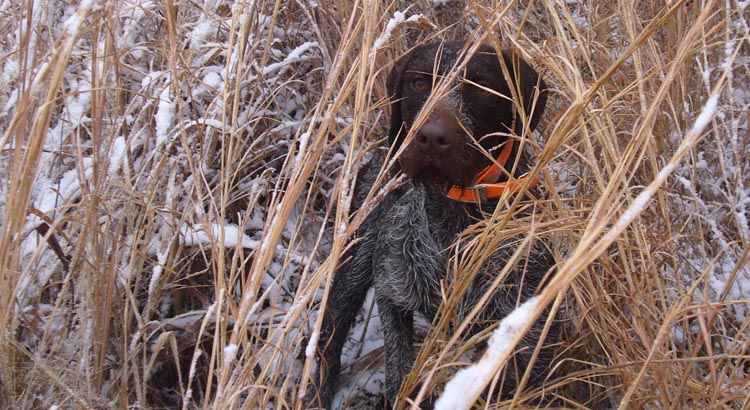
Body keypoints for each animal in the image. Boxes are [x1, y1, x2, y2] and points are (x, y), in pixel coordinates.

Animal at [314, 40, 556, 406]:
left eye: (480, 87)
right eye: (418, 83)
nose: (429, 137)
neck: (455, 222)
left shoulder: (528, 327)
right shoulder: (392, 289)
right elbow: (398, 365)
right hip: (352, 266)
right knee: (329, 341)